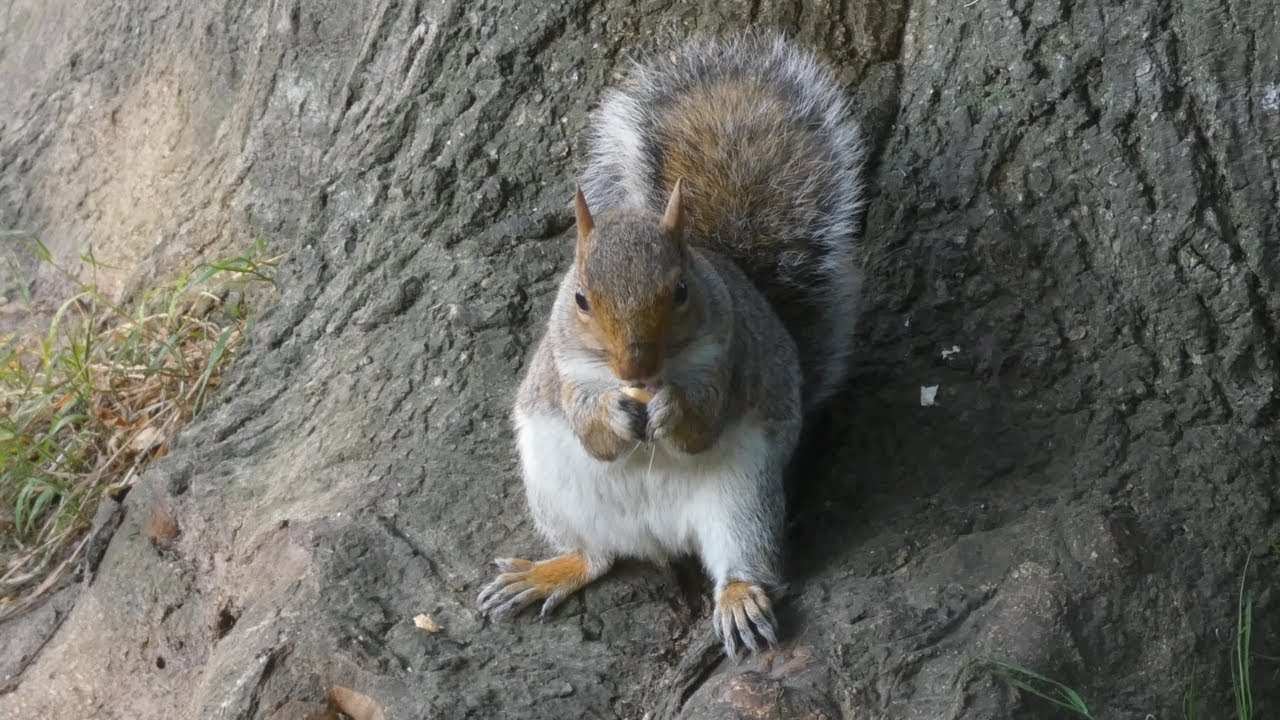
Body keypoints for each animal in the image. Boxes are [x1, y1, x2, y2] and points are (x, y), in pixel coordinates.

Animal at [478, 32, 865, 660]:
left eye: (682, 290)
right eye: (579, 298)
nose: (636, 367)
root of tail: (657, 538)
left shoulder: (726, 360)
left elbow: (700, 426)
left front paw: (671, 409)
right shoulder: (566, 372)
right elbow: (592, 435)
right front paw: (614, 414)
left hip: (743, 500)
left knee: (742, 557)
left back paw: (739, 599)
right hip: (560, 492)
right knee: (596, 556)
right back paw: (548, 572)